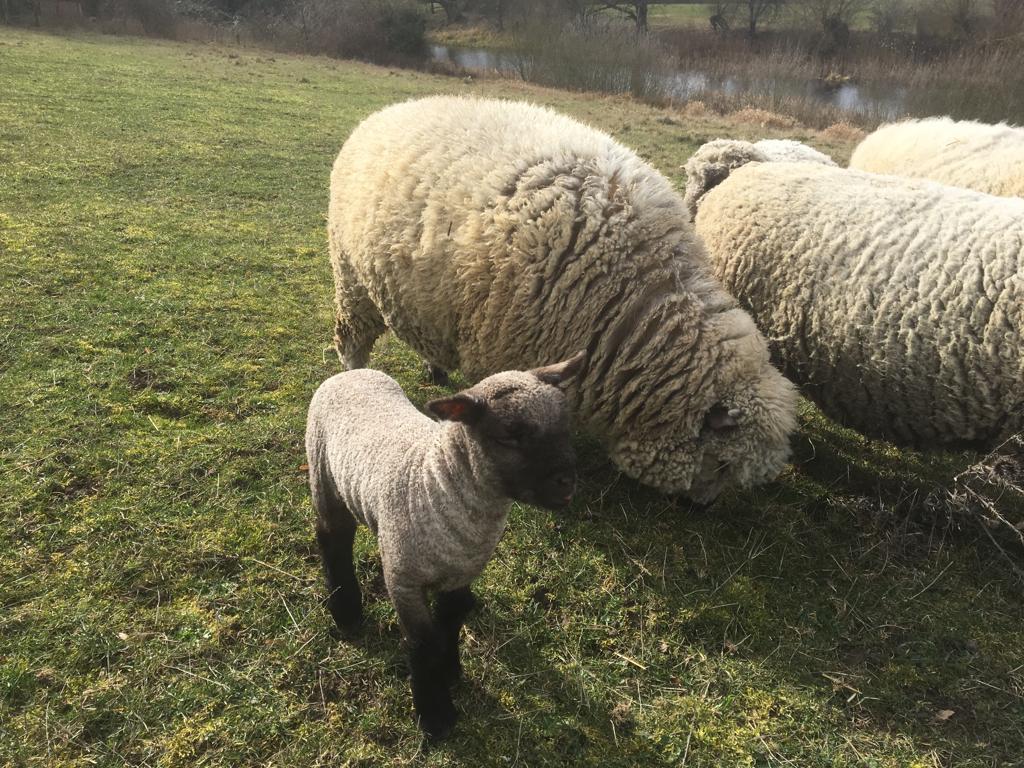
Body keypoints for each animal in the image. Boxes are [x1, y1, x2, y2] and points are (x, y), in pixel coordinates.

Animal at [305, 354, 583, 738]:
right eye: (509, 436)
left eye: (565, 426)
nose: (567, 482)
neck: (437, 479)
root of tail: (352, 372)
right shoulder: (403, 580)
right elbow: (422, 645)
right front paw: (435, 715)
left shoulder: (461, 572)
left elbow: (452, 619)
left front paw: (451, 671)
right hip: (323, 478)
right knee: (333, 540)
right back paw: (345, 611)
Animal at [328, 96, 798, 502]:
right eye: (722, 463)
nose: (701, 508)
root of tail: (389, 110)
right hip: (351, 277)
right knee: (351, 337)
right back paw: (355, 372)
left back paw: (436, 367)